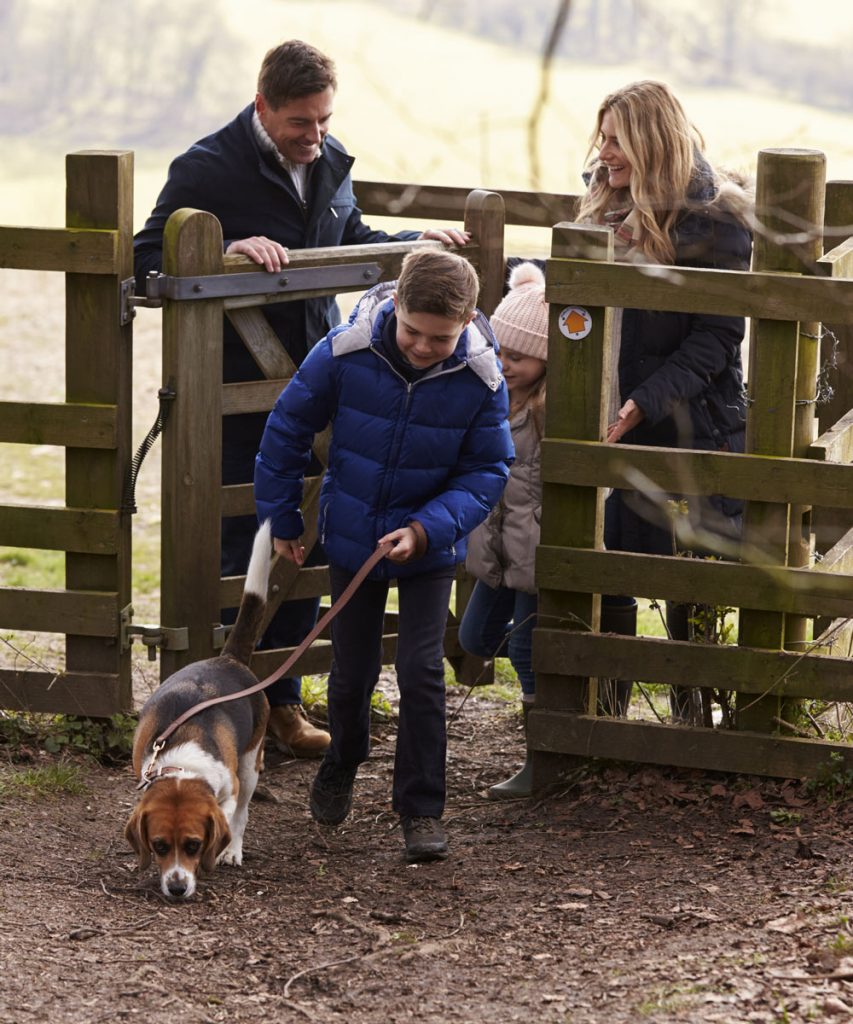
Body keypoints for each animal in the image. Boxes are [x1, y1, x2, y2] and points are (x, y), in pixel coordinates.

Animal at [124, 520, 270, 897]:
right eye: (159, 845)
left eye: (194, 845)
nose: (177, 888)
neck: (182, 764)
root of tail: (228, 658)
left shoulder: (229, 791)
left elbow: (230, 816)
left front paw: (218, 853)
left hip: (250, 765)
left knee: (243, 814)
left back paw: (232, 851)